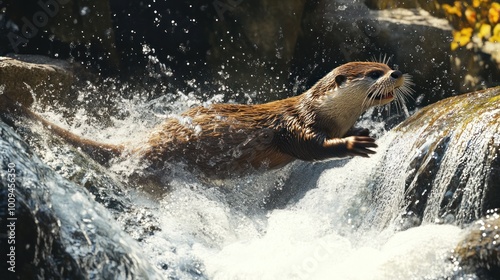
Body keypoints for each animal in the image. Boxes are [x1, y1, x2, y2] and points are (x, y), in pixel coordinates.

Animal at [0, 60, 412, 182]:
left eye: (386, 64)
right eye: (374, 72)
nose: (396, 73)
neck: (322, 112)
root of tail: (142, 140)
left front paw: (360, 129)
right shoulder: (294, 123)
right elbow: (308, 147)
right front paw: (355, 143)